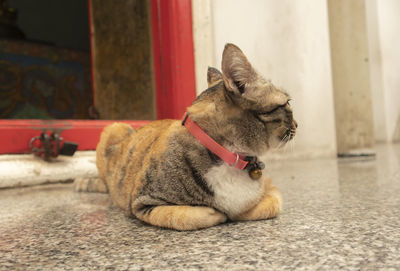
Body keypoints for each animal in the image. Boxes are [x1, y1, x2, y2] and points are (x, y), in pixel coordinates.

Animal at [74, 43, 296, 231]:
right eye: (287, 103)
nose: (297, 125)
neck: (230, 154)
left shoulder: (271, 187)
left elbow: (270, 204)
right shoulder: (143, 202)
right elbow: (185, 216)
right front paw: (218, 213)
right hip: (114, 127)